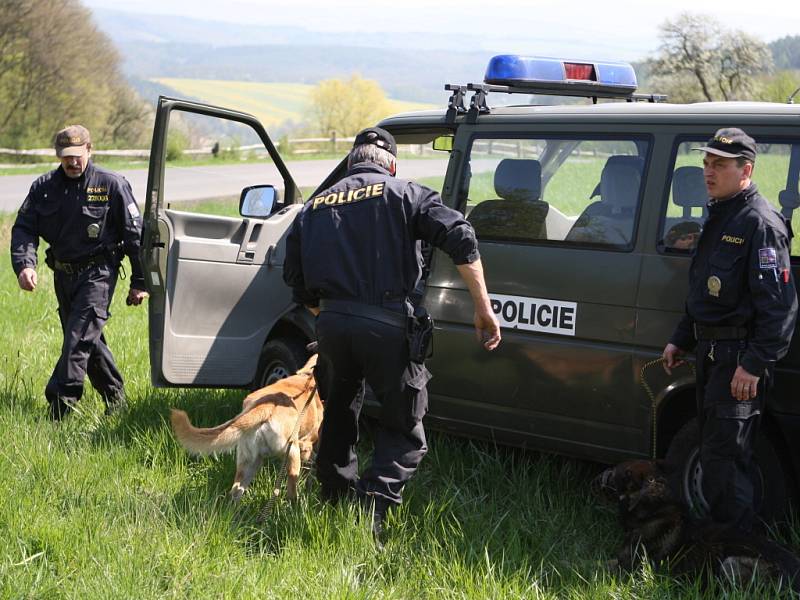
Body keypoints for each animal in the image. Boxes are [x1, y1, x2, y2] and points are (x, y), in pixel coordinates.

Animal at [170, 354, 324, 504]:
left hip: (249, 462)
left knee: (235, 492)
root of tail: (265, 407)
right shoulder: (306, 446)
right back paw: (294, 505)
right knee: (291, 489)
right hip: (291, 455)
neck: (308, 379)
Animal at [592, 460, 800, 592]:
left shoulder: (629, 567)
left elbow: (597, 564)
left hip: (730, 563)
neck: (655, 509)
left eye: (616, 473)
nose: (599, 476)